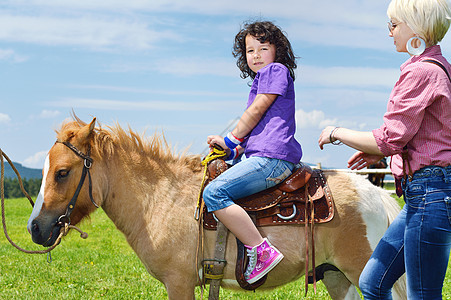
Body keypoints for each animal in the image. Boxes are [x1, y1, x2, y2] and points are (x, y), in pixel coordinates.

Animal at [26, 118, 408, 300]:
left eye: (62, 172)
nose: (35, 228)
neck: (161, 198)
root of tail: (375, 194)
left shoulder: (179, 283)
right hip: (336, 277)